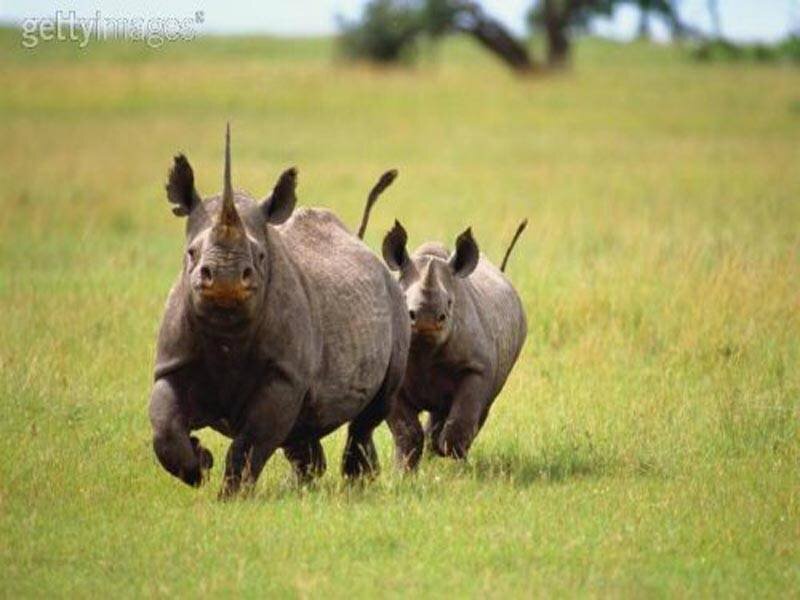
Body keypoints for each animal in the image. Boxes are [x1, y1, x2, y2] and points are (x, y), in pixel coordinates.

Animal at [148, 126, 409, 496]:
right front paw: (200, 465)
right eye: (191, 253)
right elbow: (164, 428)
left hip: (394, 301)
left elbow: (251, 443)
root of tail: (364, 247)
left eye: (260, 256)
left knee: (371, 412)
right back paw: (304, 485)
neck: (226, 325)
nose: (225, 277)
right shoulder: (172, 364)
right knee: (303, 427)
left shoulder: (284, 375)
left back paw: (356, 483)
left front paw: (231, 495)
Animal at [380, 219, 527, 469]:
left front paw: (456, 465)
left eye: (449, 304)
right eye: (402, 299)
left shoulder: (476, 367)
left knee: (480, 408)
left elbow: (461, 422)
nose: (427, 319)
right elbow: (406, 431)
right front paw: (402, 471)